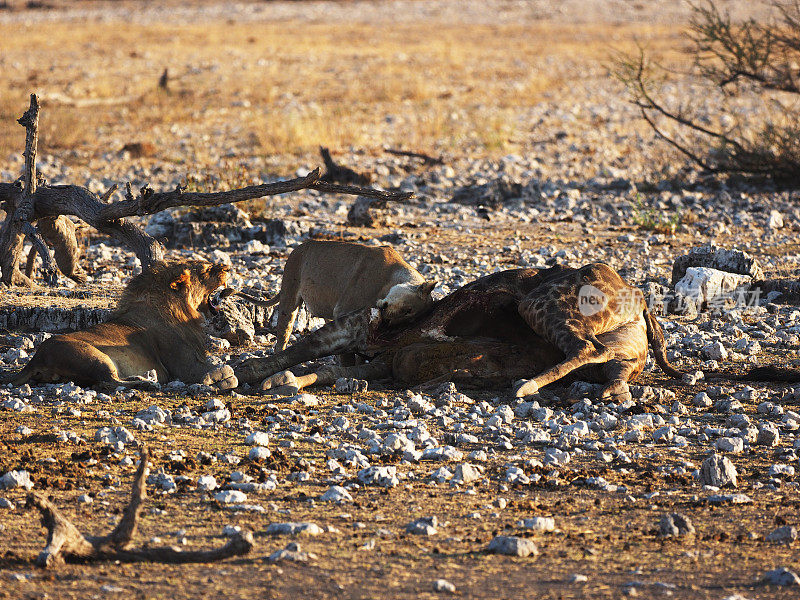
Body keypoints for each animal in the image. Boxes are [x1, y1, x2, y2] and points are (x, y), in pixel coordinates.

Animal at [5, 260, 238, 392]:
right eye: (207, 269)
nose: (228, 268)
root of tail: (36, 359)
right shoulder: (184, 367)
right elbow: (219, 370)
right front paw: (221, 376)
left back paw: (141, 378)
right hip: (95, 357)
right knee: (107, 382)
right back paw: (145, 383)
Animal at [234, 264, 684, 400]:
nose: (386, 316)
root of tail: (637, 295)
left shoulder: (362, 335)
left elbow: (303, 352)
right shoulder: (370, 349)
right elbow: (312, 362)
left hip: (540, 305)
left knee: (587, 347)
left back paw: (526, 386)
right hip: (626, 352)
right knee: (611, 365)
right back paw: (613, 391)